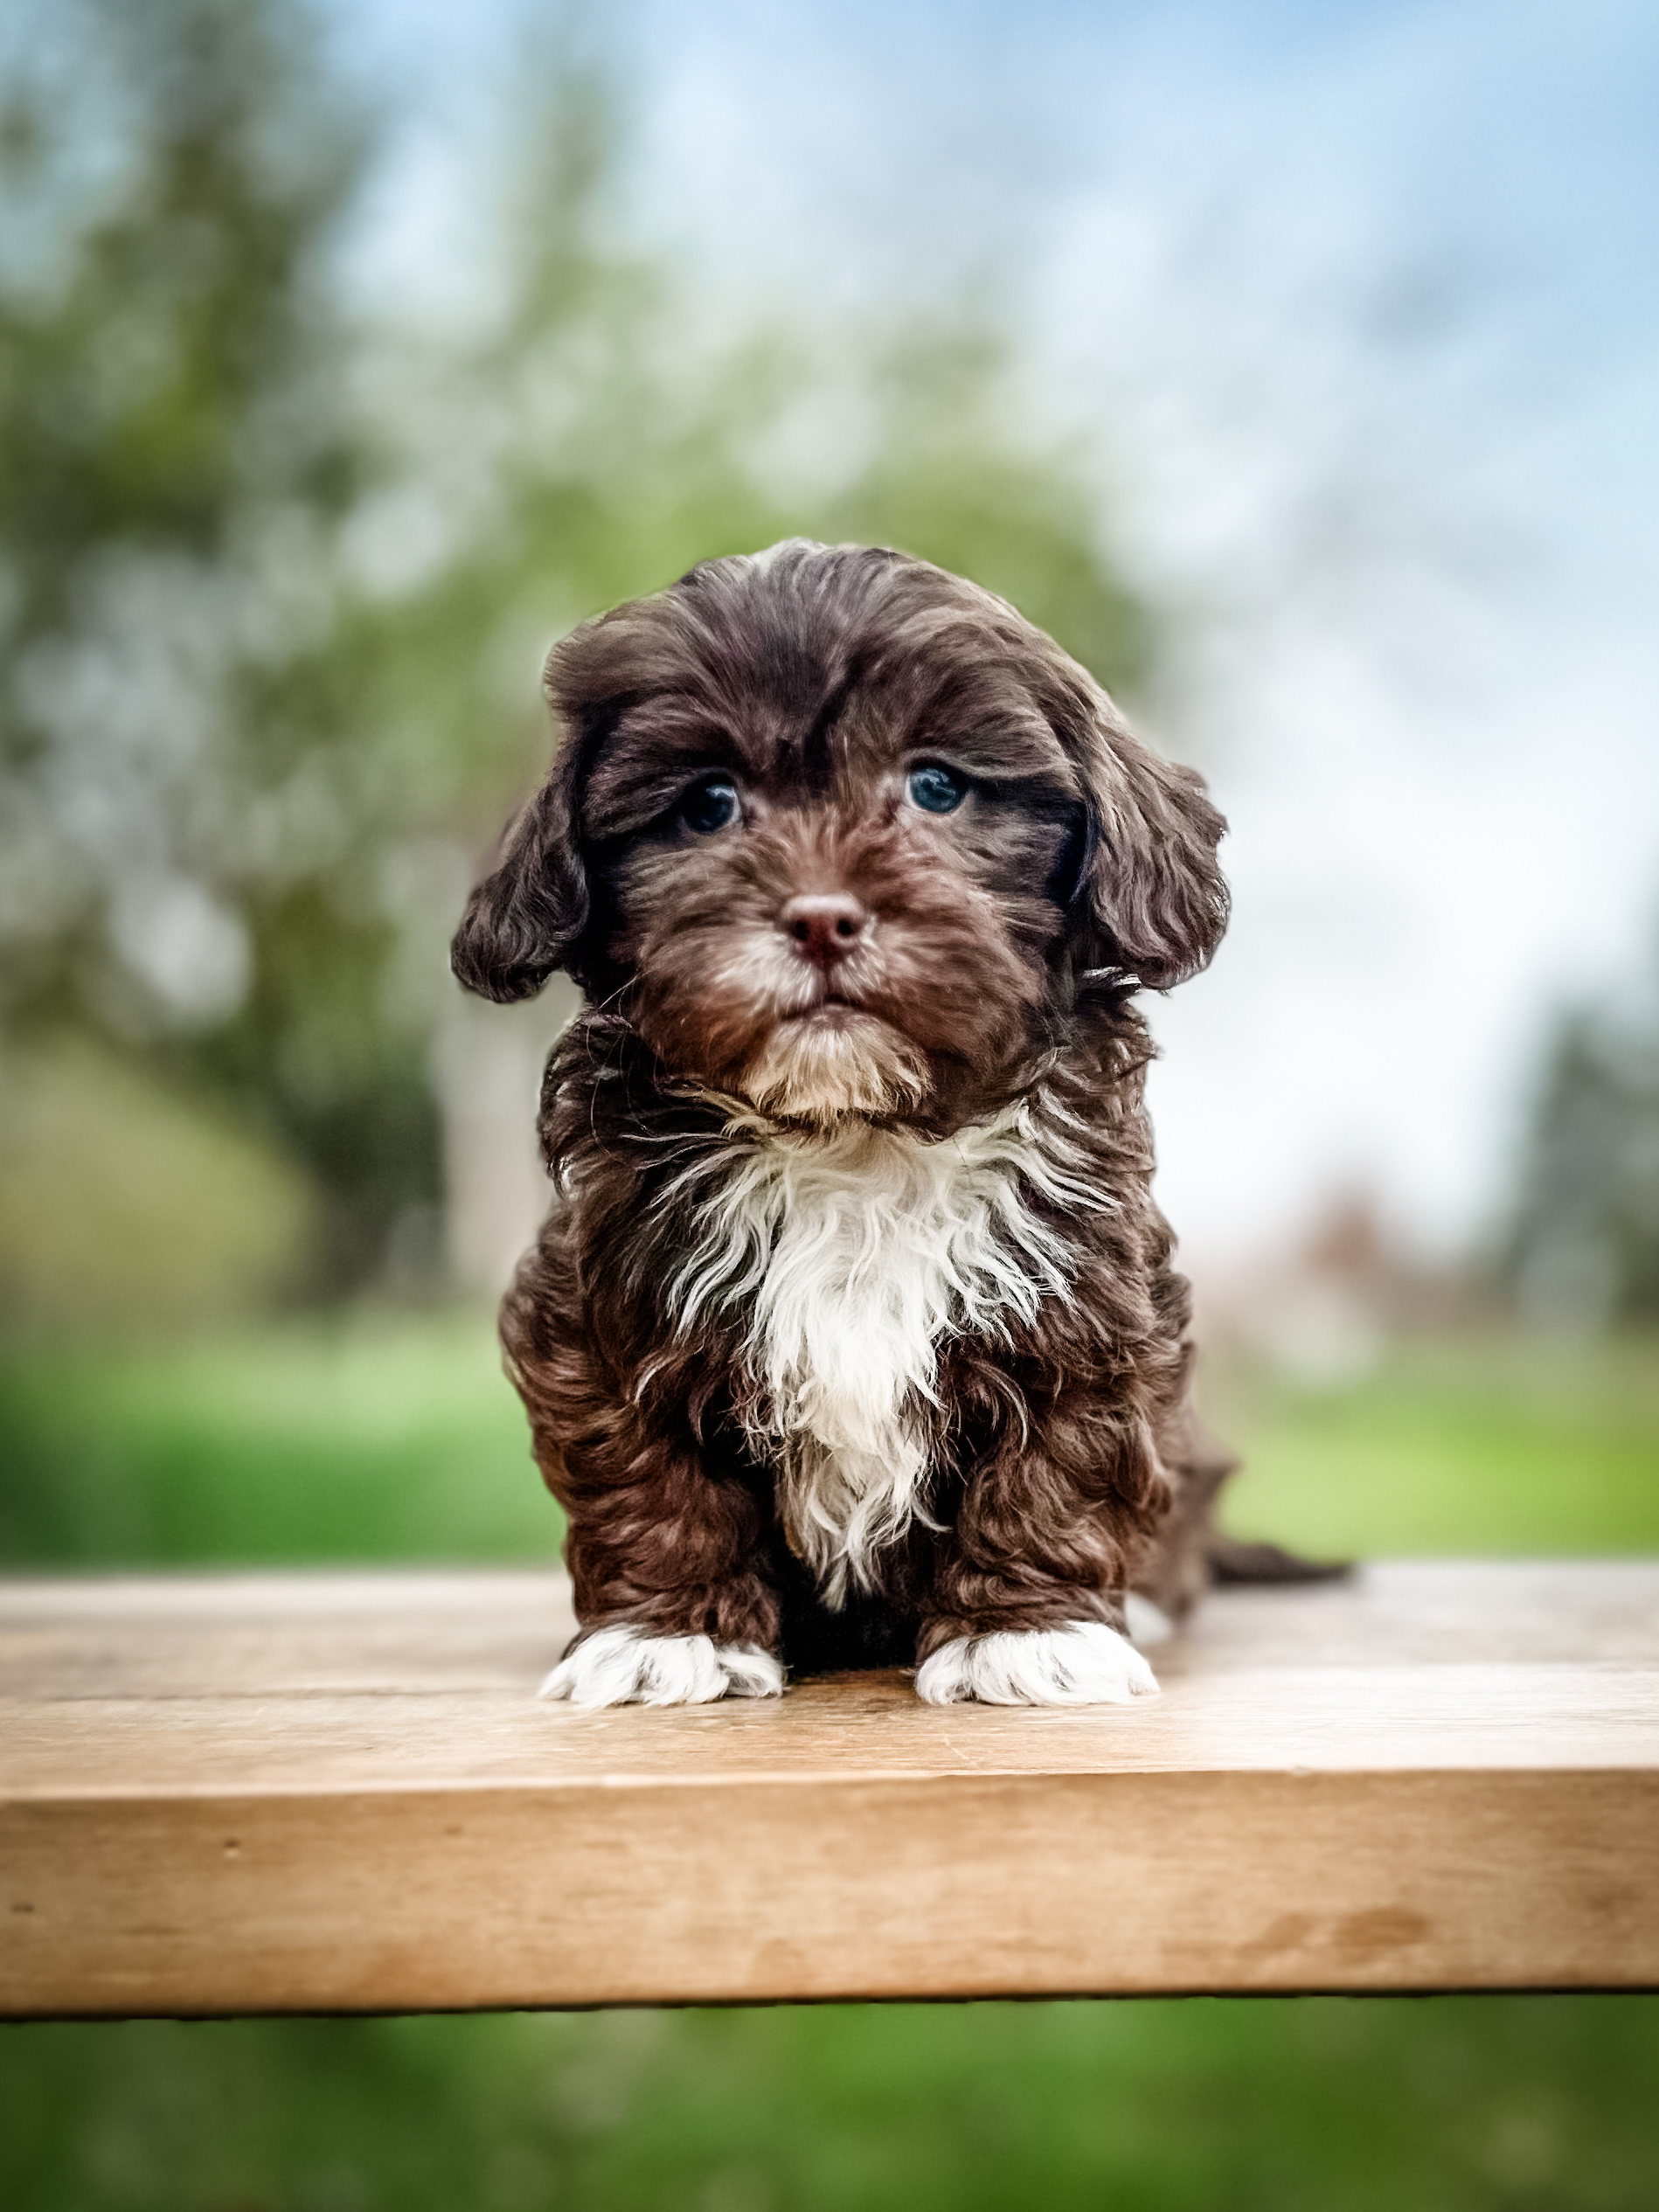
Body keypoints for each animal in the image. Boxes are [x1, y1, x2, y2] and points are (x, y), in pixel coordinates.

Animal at [451, 539, 1239, 1707]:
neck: (856, 1132)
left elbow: (1058, 1455)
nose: (820, 916)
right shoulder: (598, 1298)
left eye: (936, 786)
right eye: (708, 804)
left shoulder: (1088, 1292)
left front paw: (1028, 1630)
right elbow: (645, 1463)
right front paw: (662, 1634)